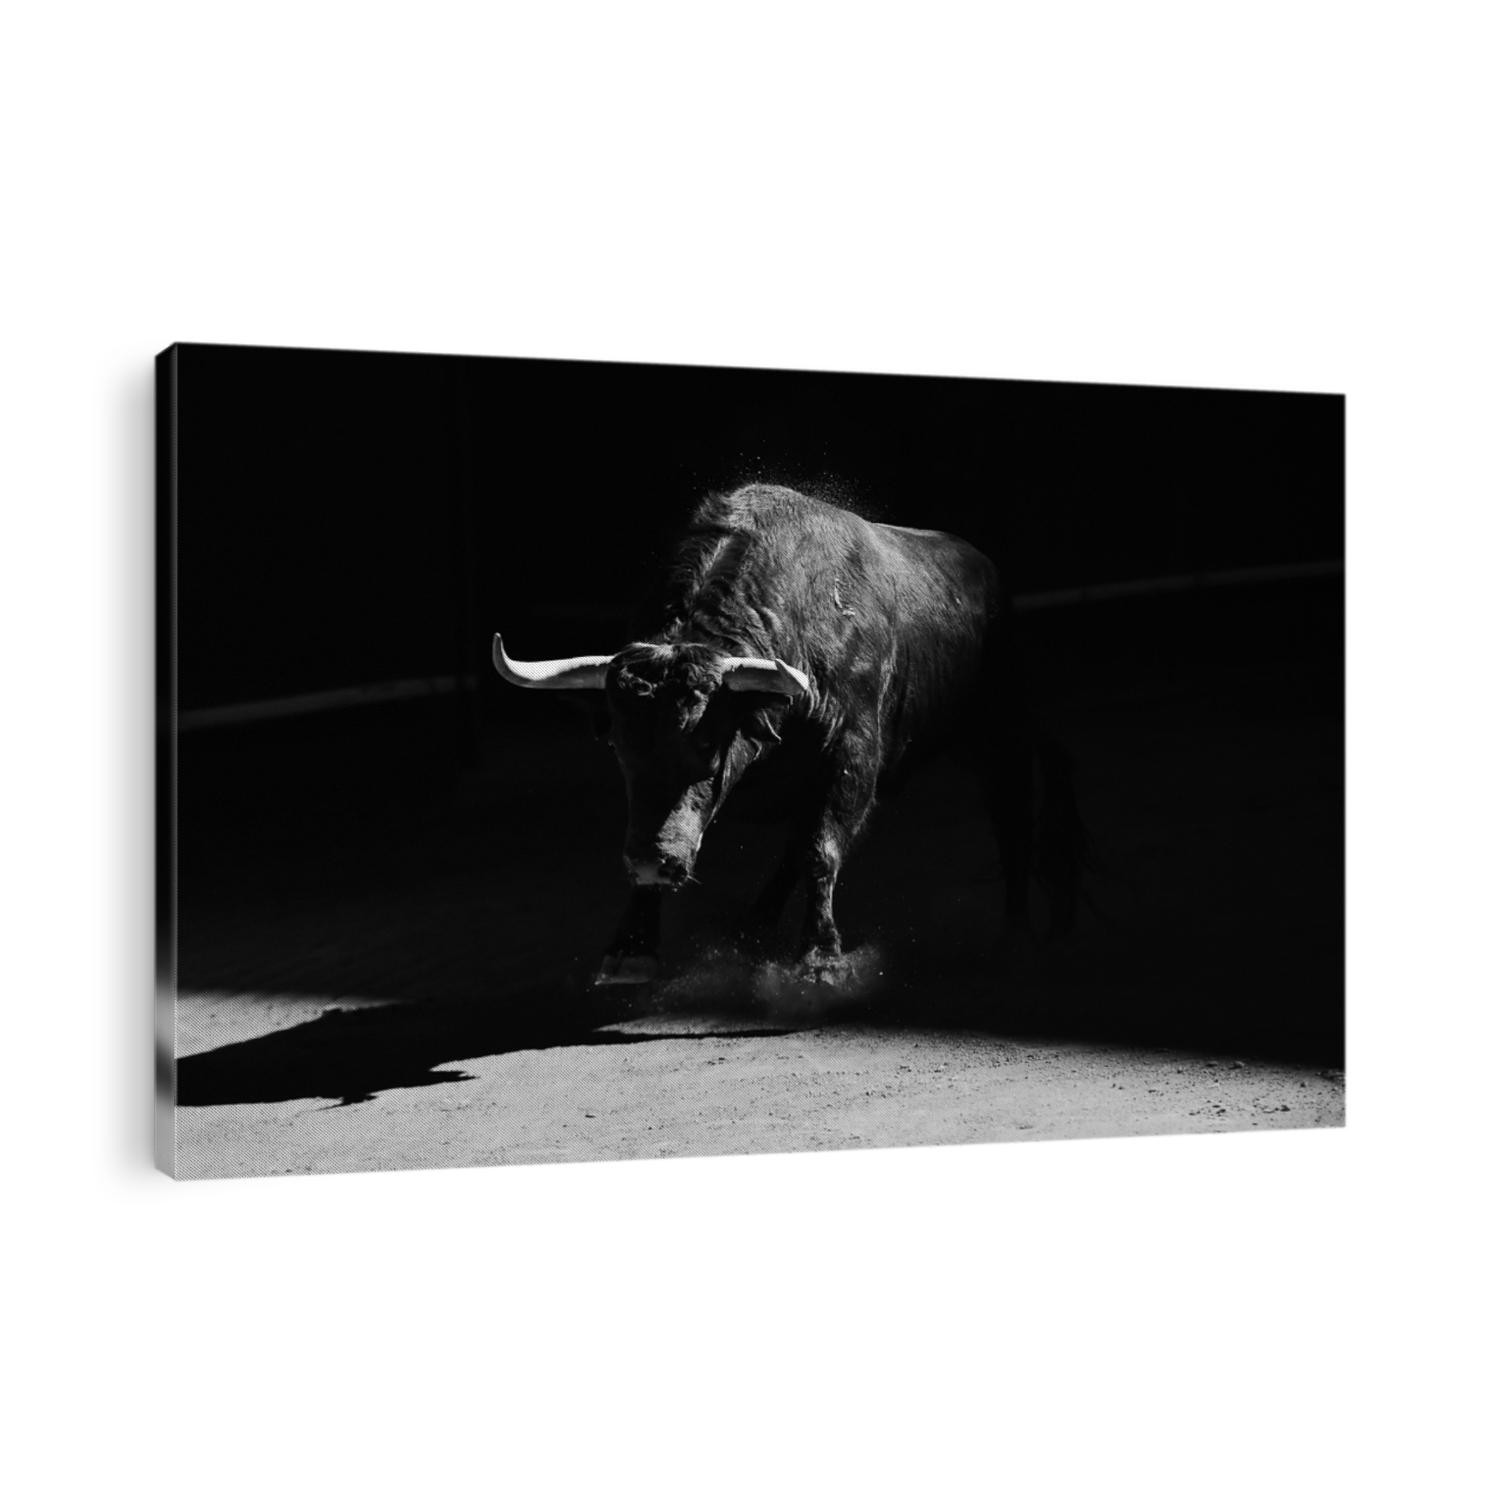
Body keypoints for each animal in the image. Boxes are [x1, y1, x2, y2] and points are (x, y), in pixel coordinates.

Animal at [493, 482, 1084, 986]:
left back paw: (1017, 939)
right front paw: (631, 950)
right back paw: (751, 925)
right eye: (619, 746)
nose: (649, 861)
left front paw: (821, 959)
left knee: (1014, 820)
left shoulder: (851, 757)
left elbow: (821, 849)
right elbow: (783, 844)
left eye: (707, 743)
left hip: (1000, 735)